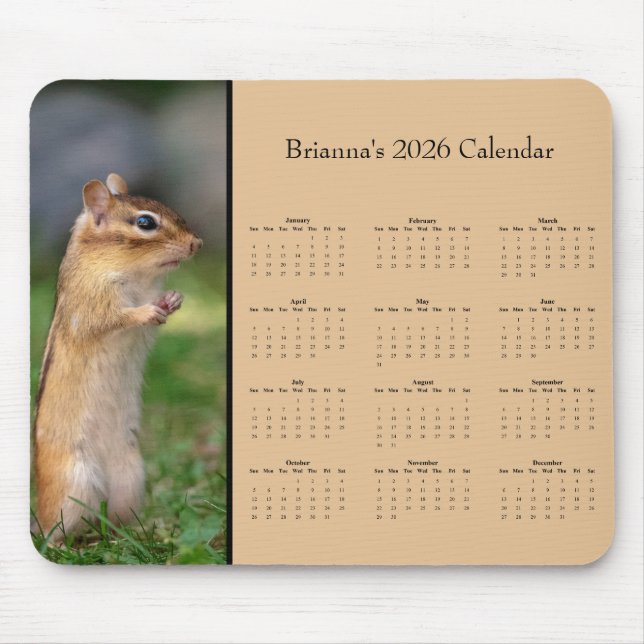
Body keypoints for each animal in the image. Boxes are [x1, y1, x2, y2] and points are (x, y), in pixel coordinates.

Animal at [33, 173, 202, 541]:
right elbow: (113, 319)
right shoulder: (91, 304)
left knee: (114, 520)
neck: (137, 277)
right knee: (58, 527)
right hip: (74, 483)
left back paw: (134, 533)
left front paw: (174, 299)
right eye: (145, 223)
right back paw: (61, 542)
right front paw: (146, 311)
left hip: (131, 479)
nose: (197, 244)